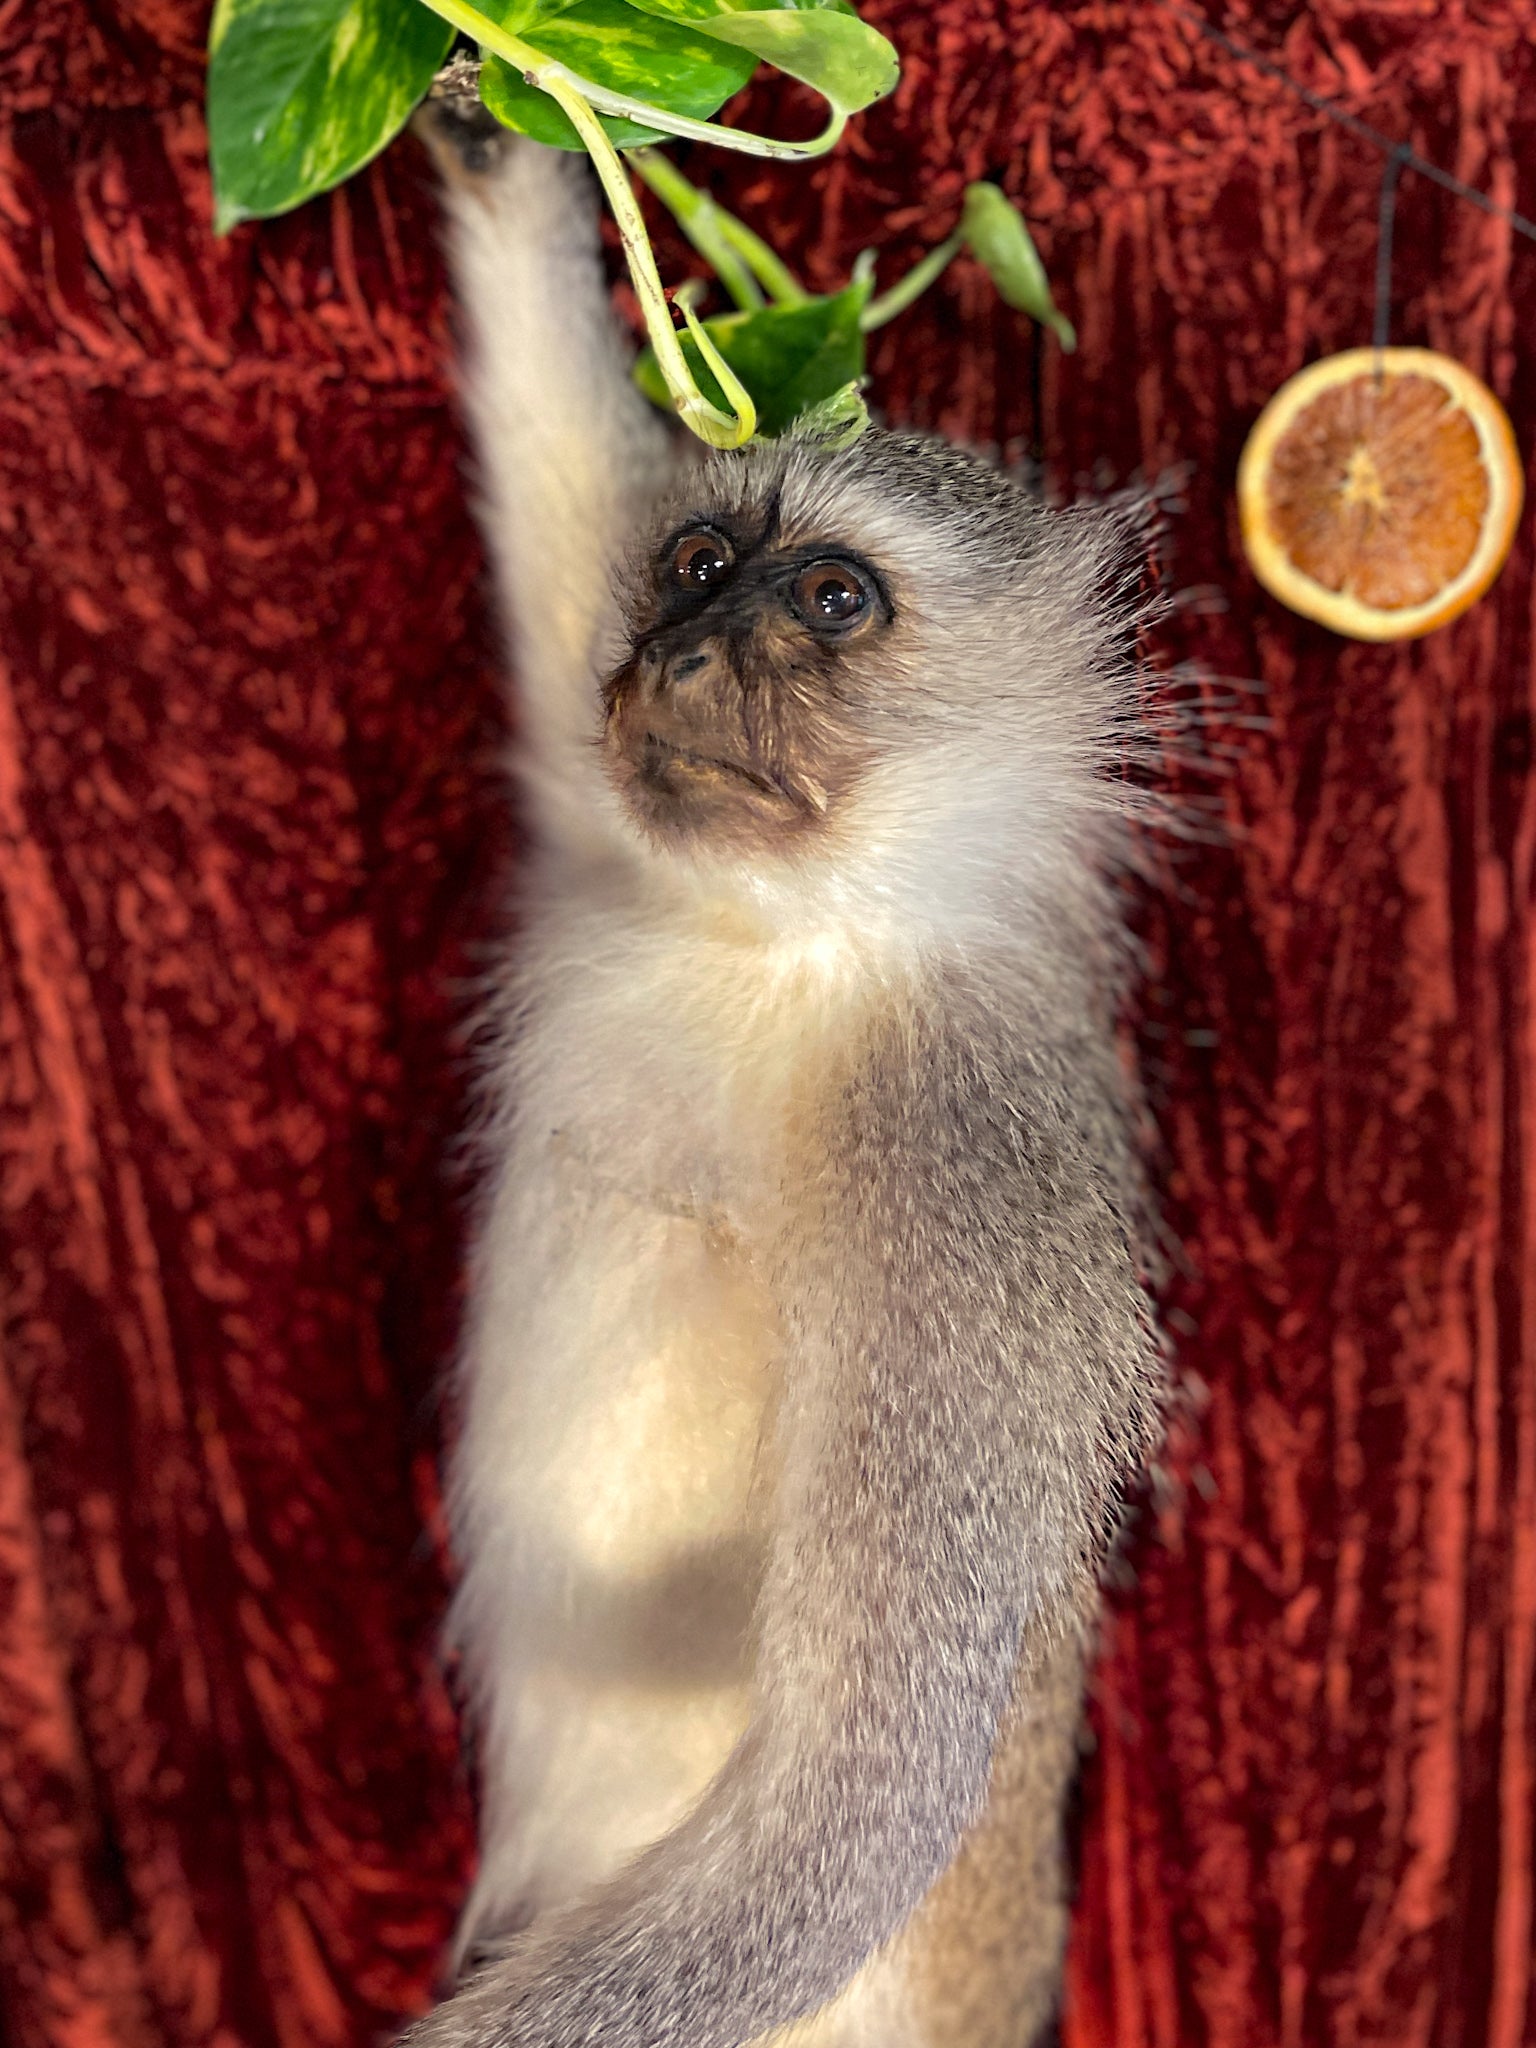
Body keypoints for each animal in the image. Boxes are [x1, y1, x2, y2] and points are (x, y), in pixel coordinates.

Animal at [410, 88, 1164, 2048]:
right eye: (695, 563)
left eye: (828, 598)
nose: (685, 646)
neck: (790, 947)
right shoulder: (605, 797)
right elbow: (559, 524)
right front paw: (509, 133)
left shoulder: (960, 1162)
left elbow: (864, 1784)